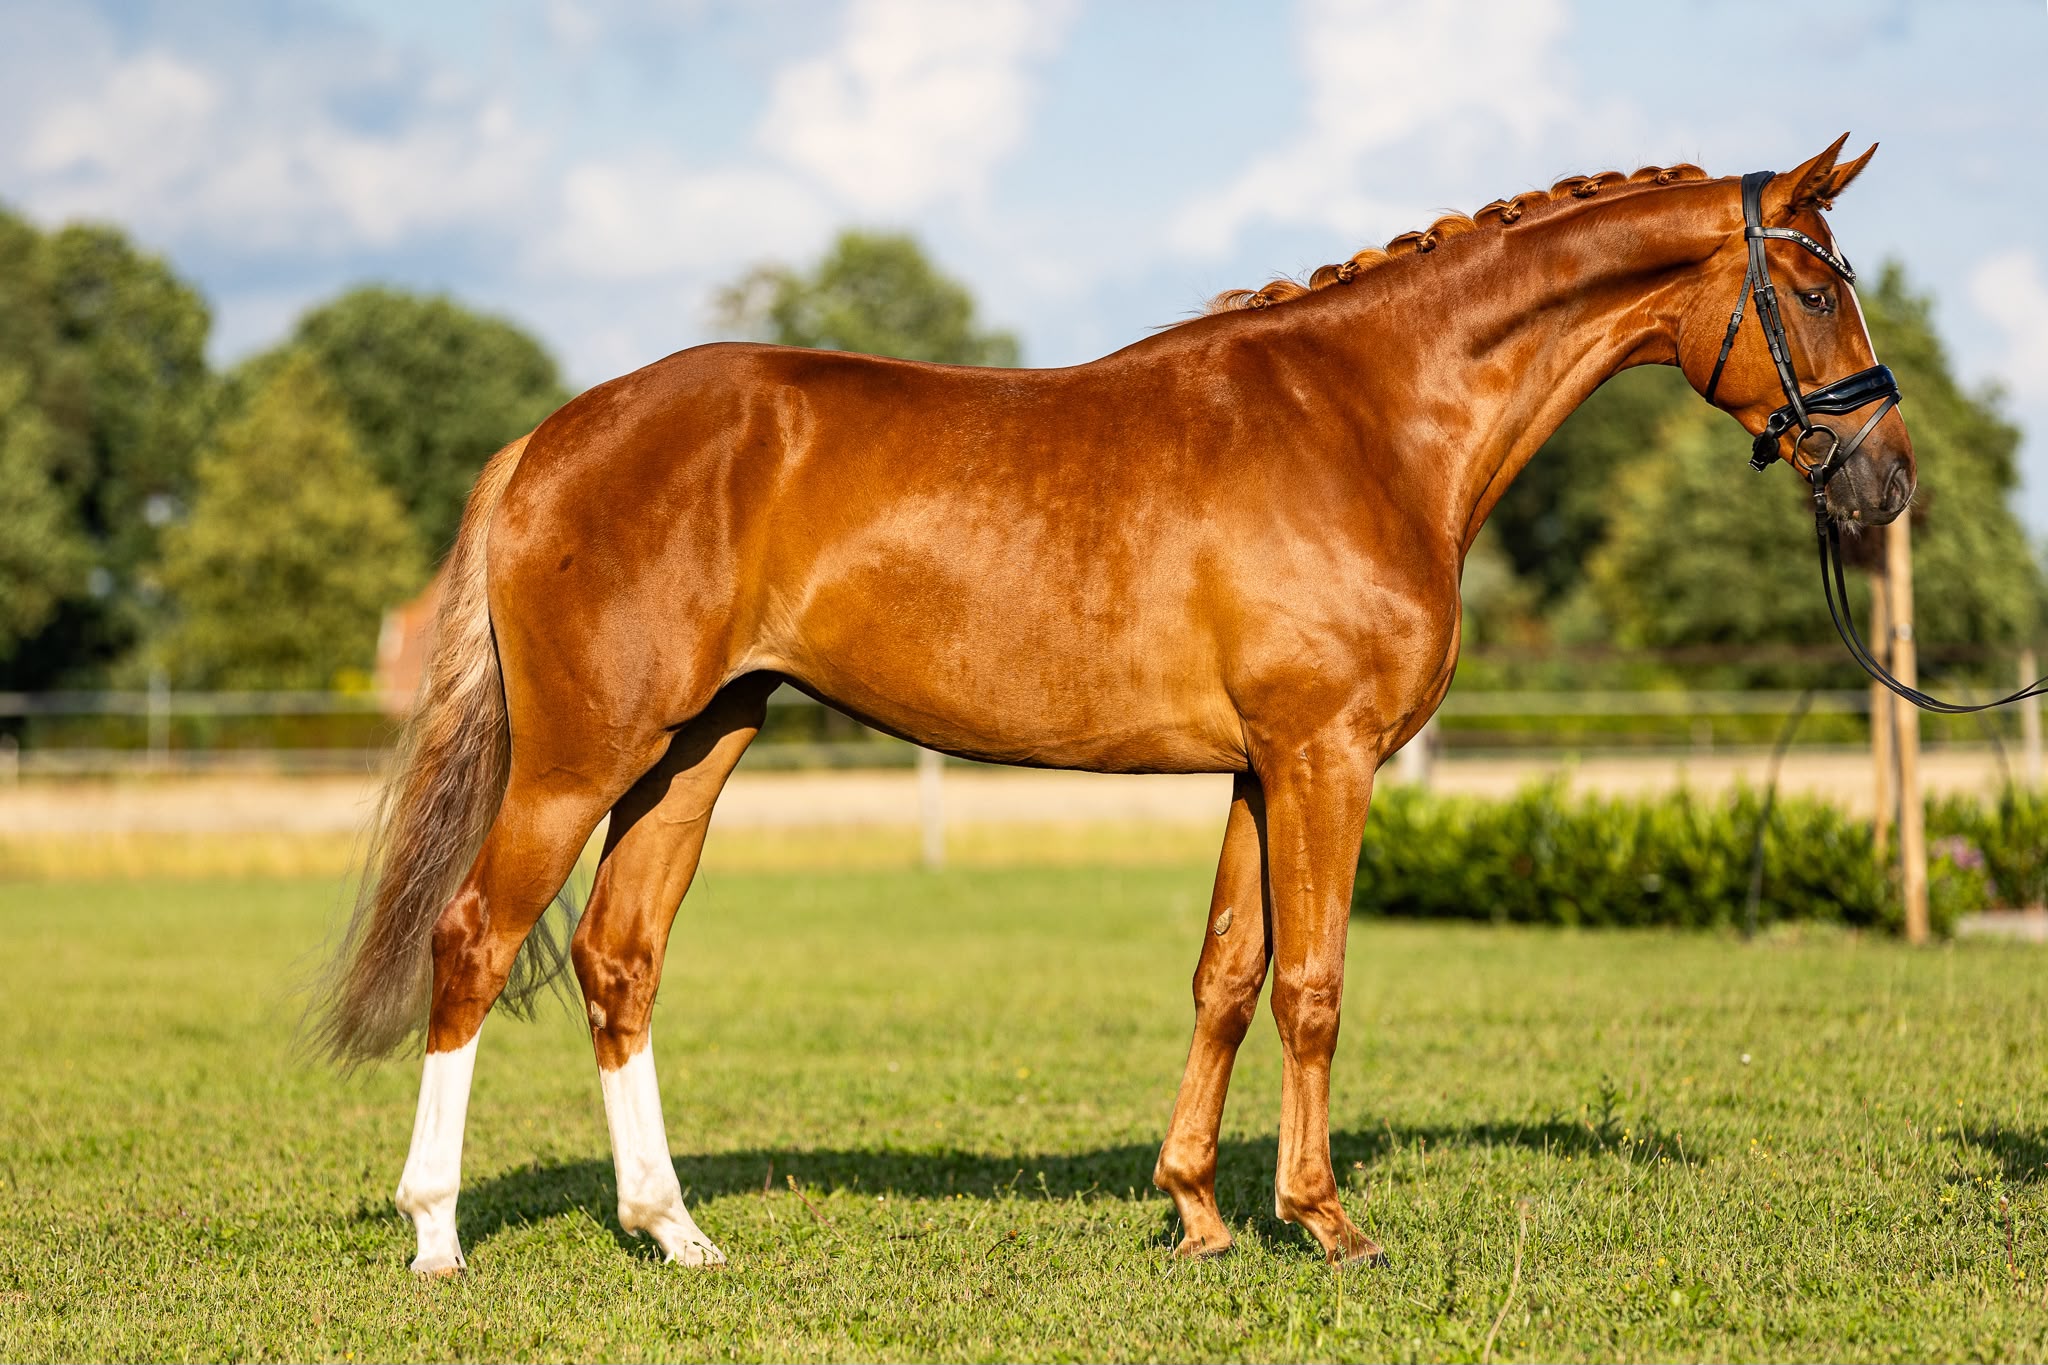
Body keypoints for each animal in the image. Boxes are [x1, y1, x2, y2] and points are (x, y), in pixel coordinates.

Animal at [316, 134, 1913, 1274]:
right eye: (1814, 287)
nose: (1885, 482)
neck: (1370, 421)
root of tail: (552, 437)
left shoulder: (1261, 768)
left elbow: (1225, 974)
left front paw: (1198, 1212)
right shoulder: (1326, 758)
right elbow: (1313, 983)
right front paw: (1325, 1221)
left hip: (696, 749)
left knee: (619, 958)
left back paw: (675, 1230)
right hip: (580, 759)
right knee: (474, 939)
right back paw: (437, 1234)